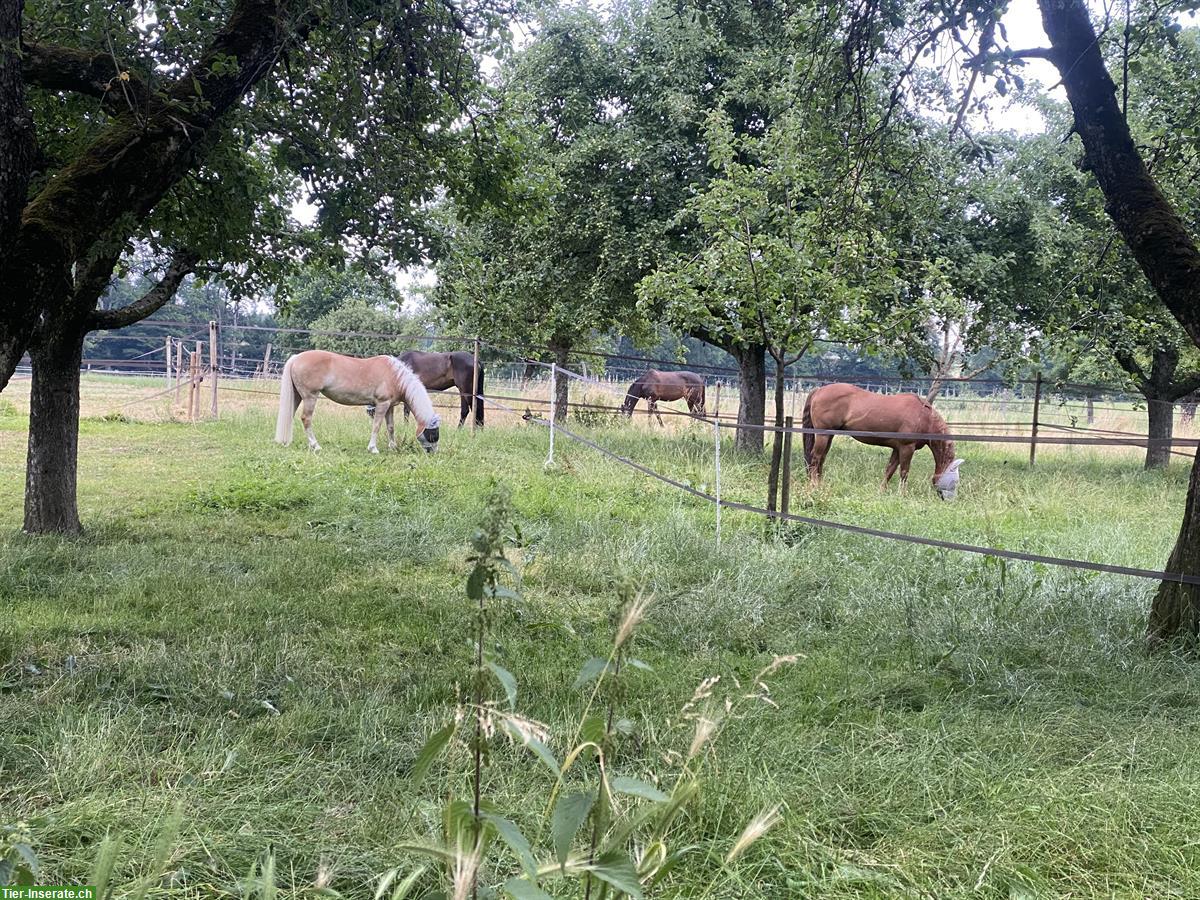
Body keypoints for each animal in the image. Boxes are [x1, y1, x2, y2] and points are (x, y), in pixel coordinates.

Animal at [276, 348, 441, 453]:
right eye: (433, 432)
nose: (433, 452)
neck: (394, 375)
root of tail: (296, 358)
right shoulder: (382, 404)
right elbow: (377, 425)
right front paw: (373, 448)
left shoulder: (390, 406)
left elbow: (390, 427)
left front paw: (393, 447)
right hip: (310, 396)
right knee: (306, 419)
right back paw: (315, 446)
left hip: (297, 395)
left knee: (289, 416)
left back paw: (285, 442)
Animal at [801, 381, 960, 501]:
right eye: (954, 480)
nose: (949, 500)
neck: (924, 417)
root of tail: (819, 390)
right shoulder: (907, 448)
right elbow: (904, 472)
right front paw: (902, 494)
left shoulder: (897, 449)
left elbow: (889, 470)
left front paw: (881, 491)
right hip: (822, 436)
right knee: (815, 458)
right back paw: (814, 485)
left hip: (829, 436)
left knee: (821, 459)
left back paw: (820, 484)